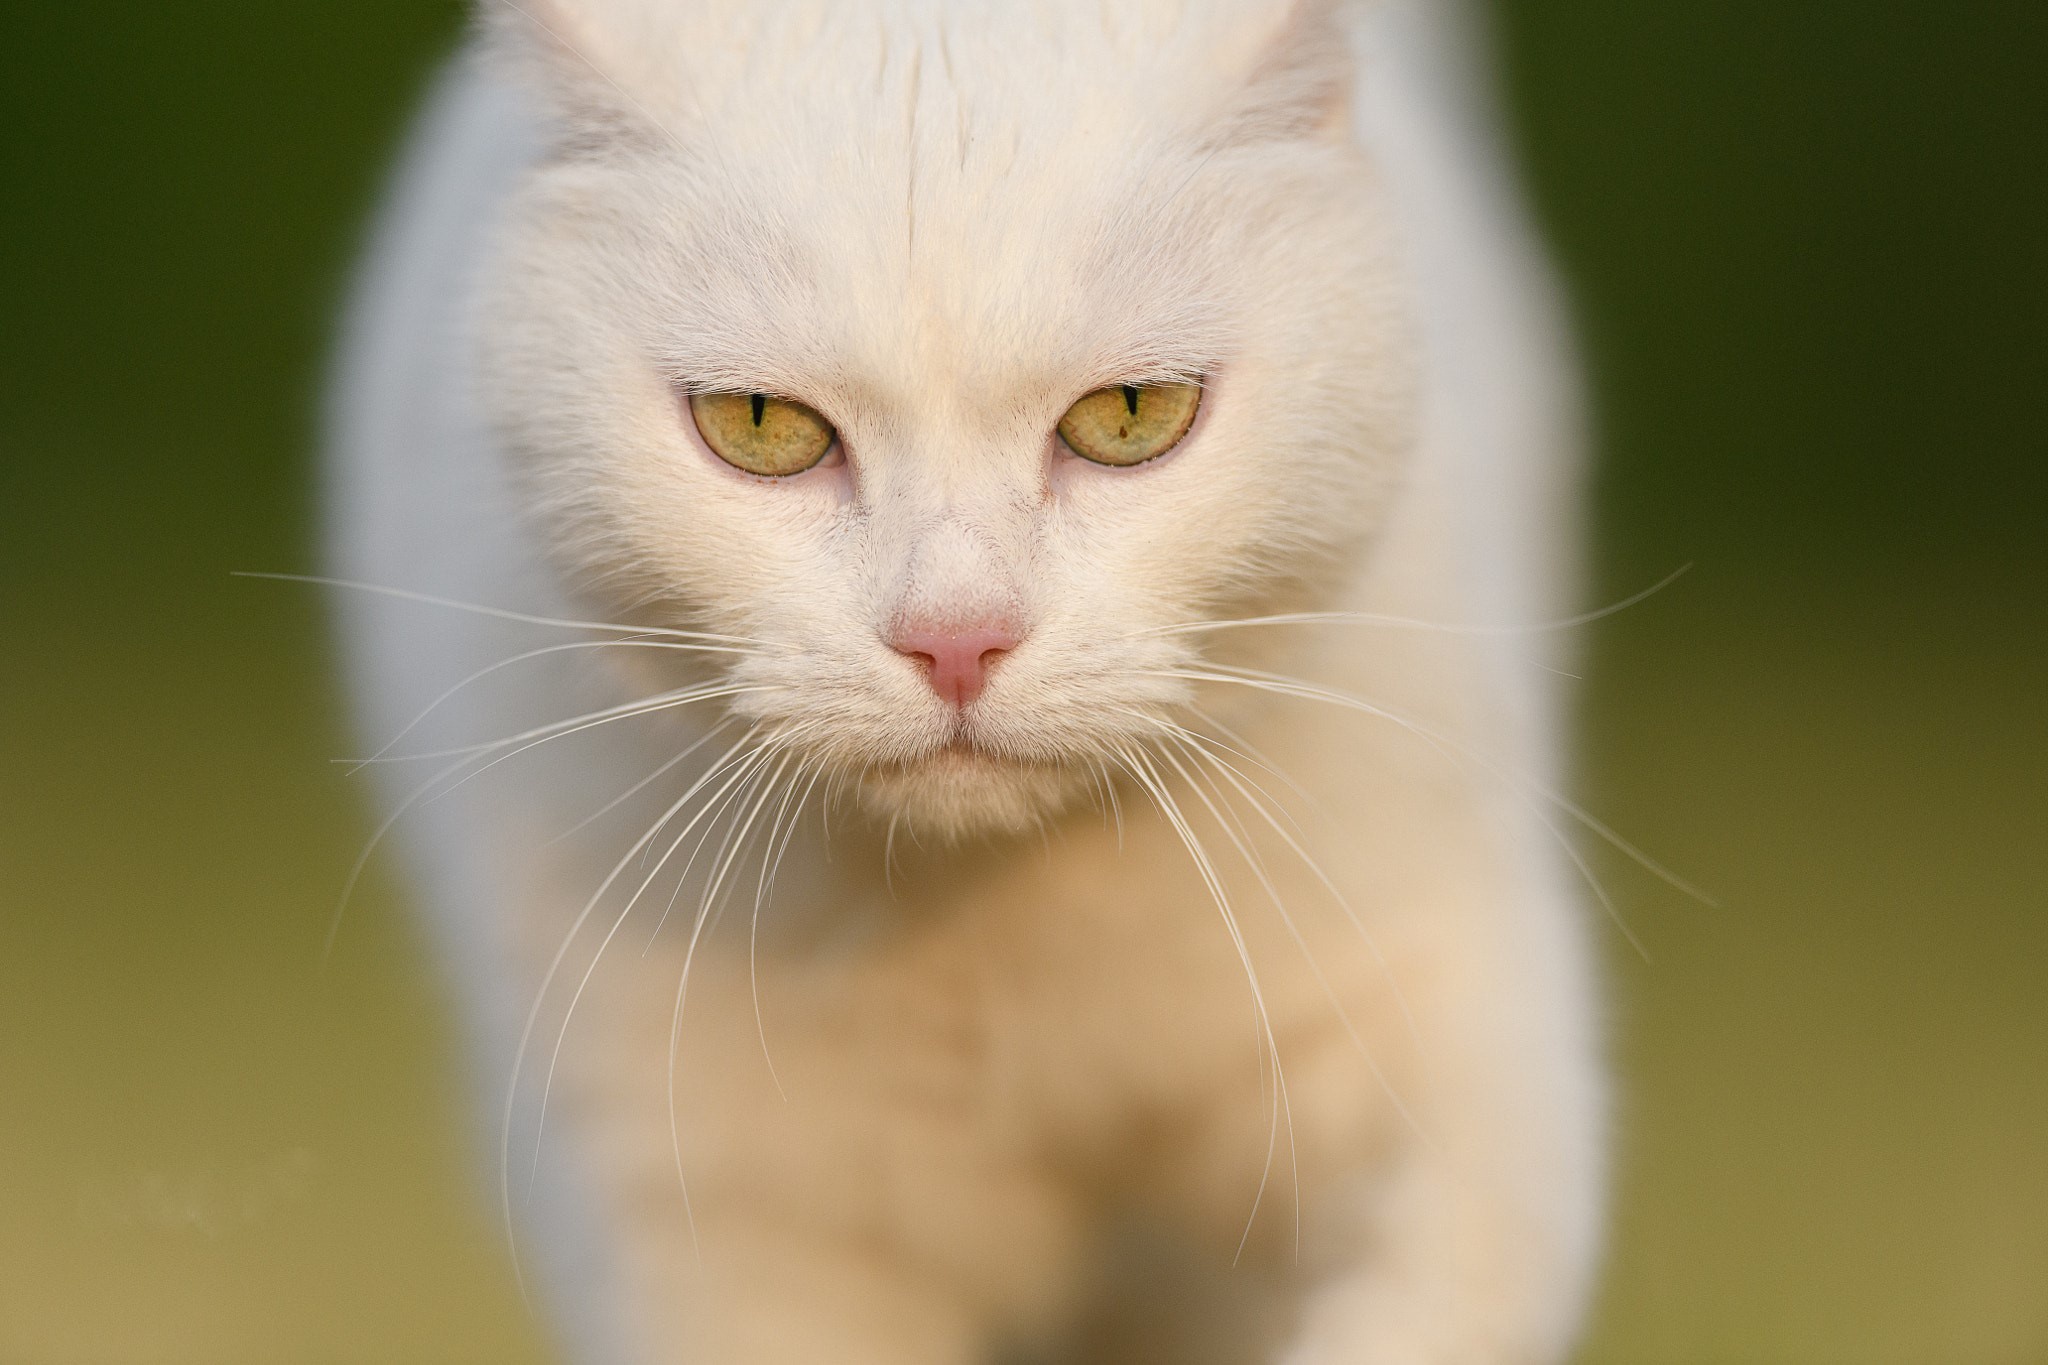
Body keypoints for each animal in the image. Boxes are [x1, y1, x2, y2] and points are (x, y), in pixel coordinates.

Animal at [323, 5, 1597, 1358]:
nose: (954, 638)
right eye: (760, 423)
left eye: (1132, 412)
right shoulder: (702, 1217)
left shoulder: (1455, 1043)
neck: (995, 944)